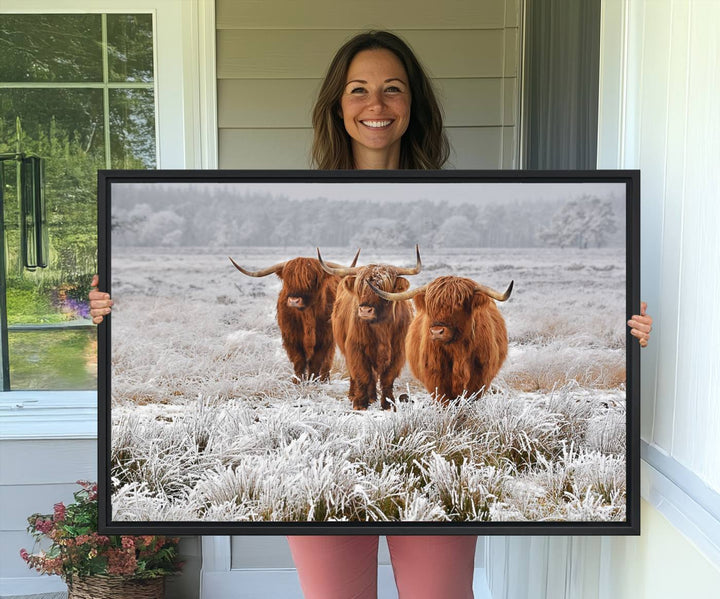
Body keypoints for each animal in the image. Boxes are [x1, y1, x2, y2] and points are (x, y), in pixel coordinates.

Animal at [229, 251, 358, 382]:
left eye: (311, 279)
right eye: (288, 280)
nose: (294, 301)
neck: (307, 316)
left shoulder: (325, 338)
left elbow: (316, 362)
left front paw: (313, 380)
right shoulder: (291, 338)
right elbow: (299, 361)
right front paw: (297, 381)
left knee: (327, 361)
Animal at [316, 246, 422, 410]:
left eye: (383, 288)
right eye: (360, 287)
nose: (365, 310)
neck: (381, 327)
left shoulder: (398, 352)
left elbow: (387, 378)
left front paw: (388, 404)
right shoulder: (356, 348)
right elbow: (362, 375)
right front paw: (360, 403)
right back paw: (356, 395)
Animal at [372, 276, 512, 404]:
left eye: (458, 304)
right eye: (430, 306)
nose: (437, 331)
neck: (457, 350)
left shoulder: (479, 378)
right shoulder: (436, 378)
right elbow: (444, 401)